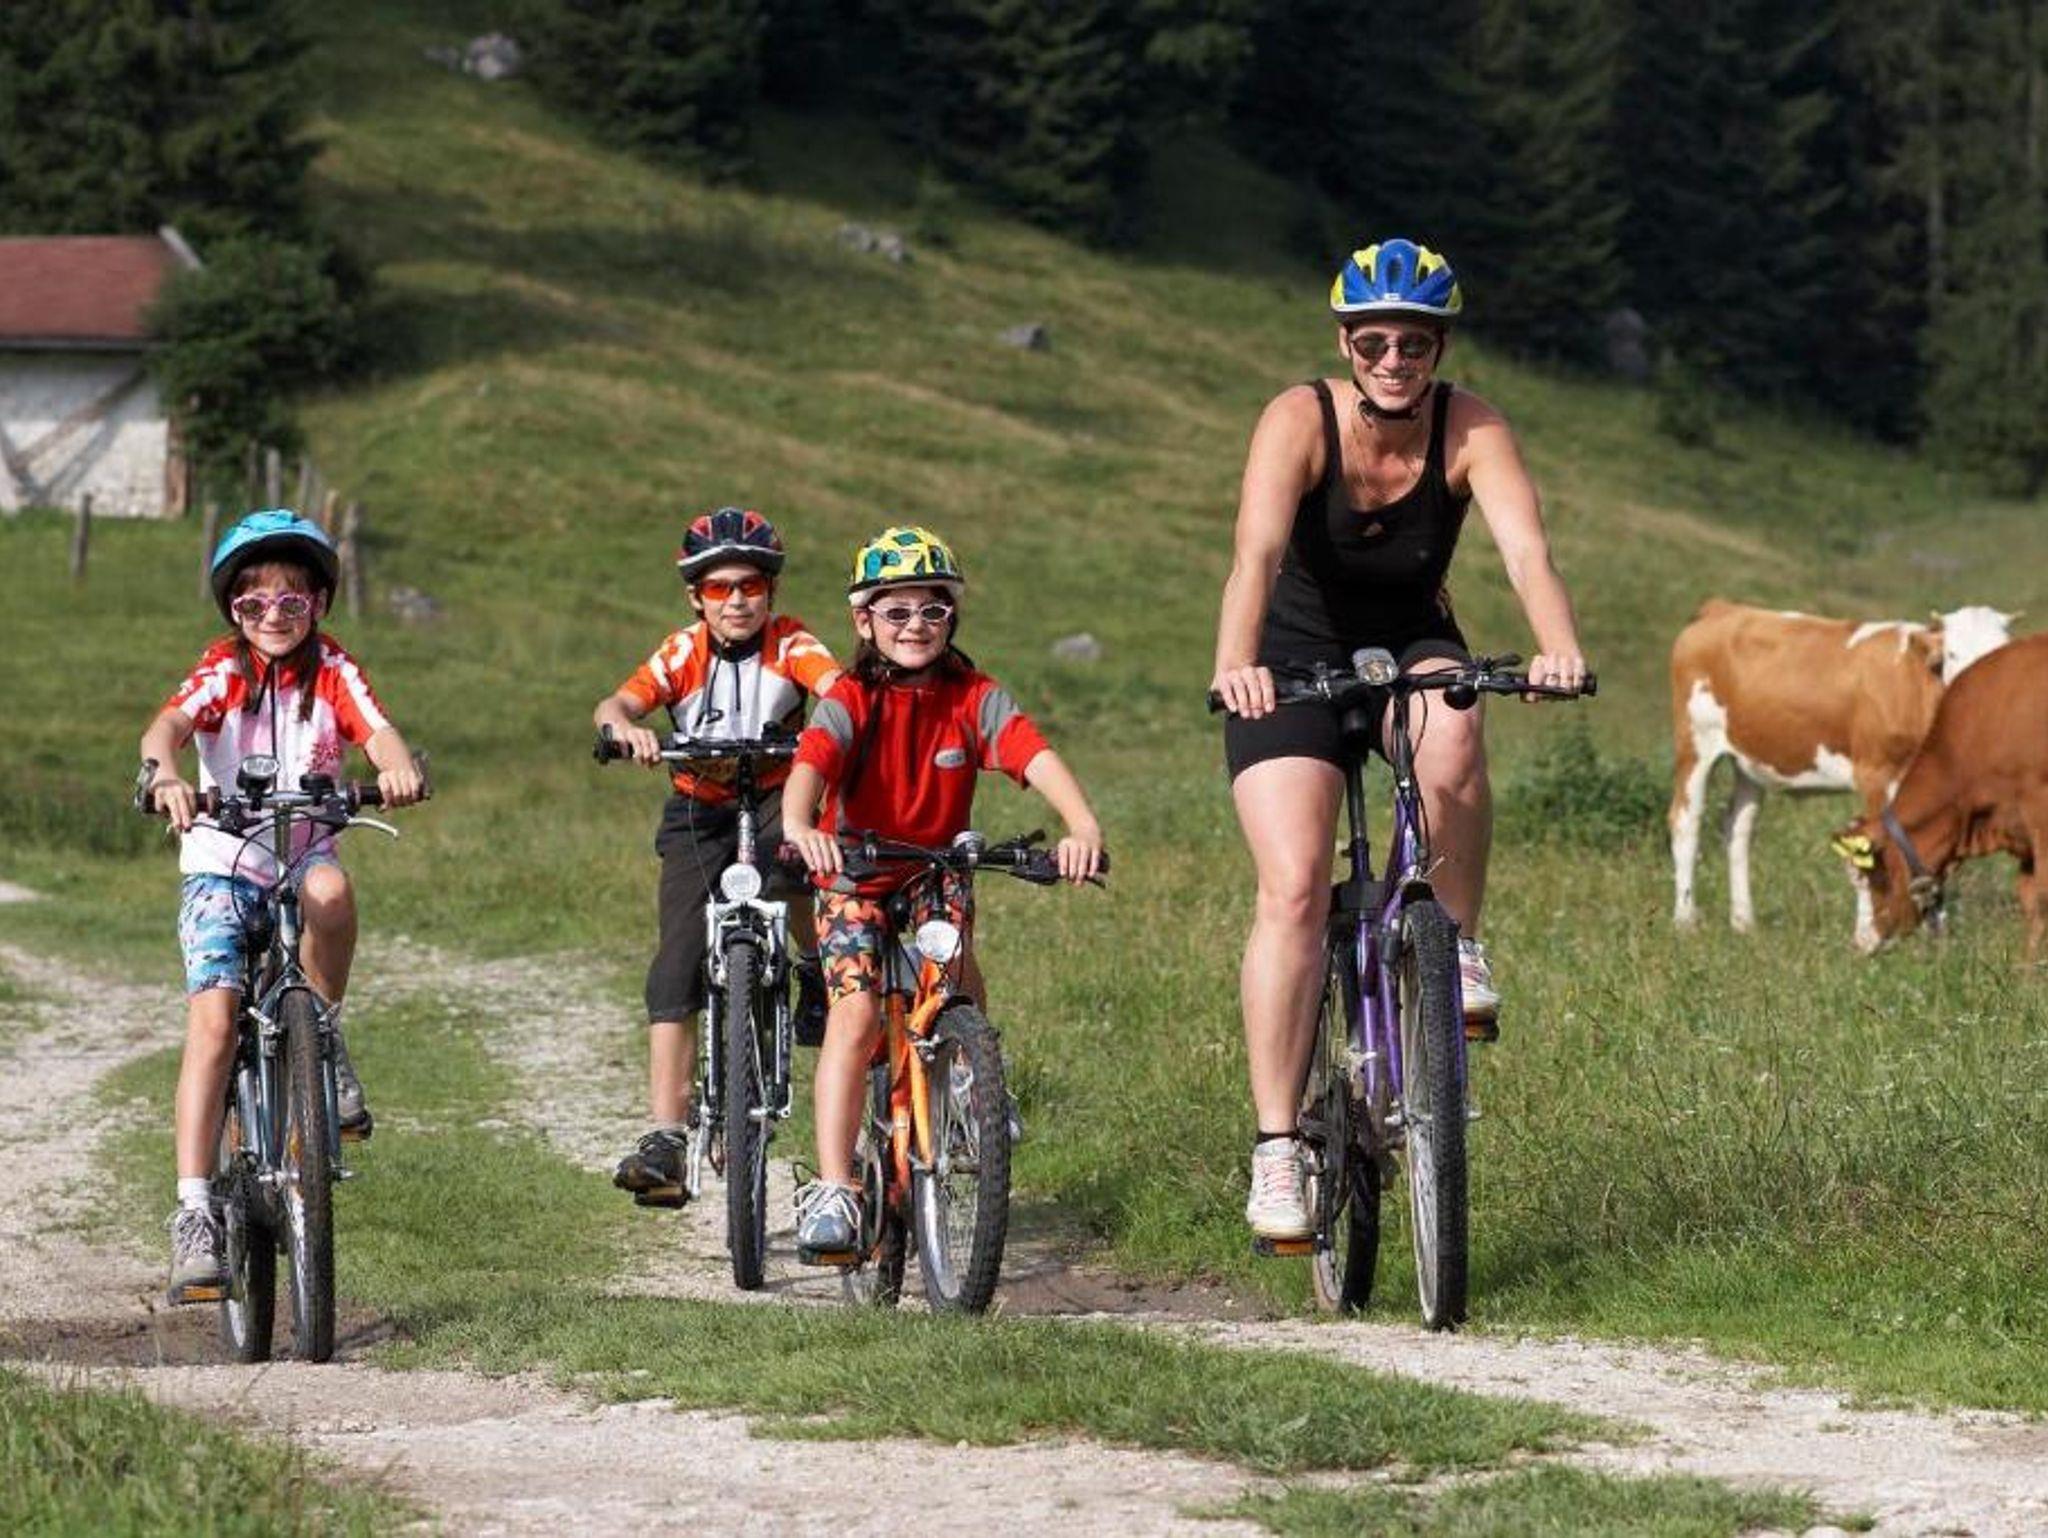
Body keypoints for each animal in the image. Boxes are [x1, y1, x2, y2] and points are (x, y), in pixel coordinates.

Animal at [1669, 600, 2014, 934]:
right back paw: (1685, 921)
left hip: (1750, 762)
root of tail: (1722, 607)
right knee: (1686, 822)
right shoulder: (1876, 774)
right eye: (1953, 654)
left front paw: (1937, 930)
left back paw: (1743, 922)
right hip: (1695, 745)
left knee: (1738, 829)